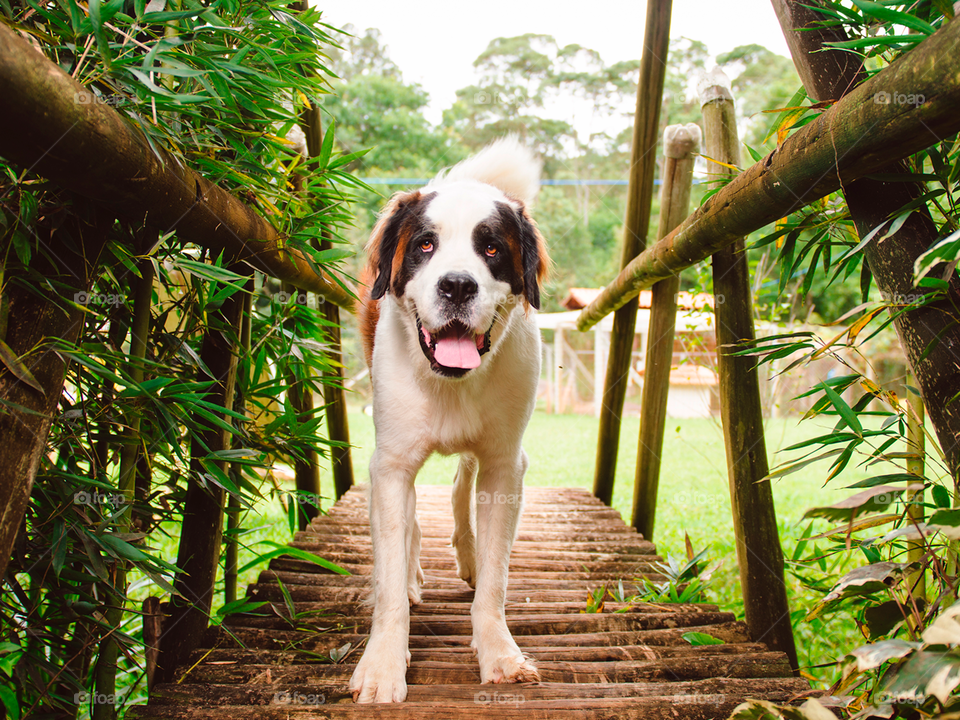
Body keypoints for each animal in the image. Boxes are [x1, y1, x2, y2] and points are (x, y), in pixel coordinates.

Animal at [350, 136, 548, 704]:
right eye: (424, 246)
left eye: (492, 249)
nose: (457, 286)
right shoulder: (390, 464)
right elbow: (390, 577)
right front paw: (383, 664)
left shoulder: (505, 465)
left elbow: (497, 578)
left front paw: (499, 652)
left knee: (462, 484)